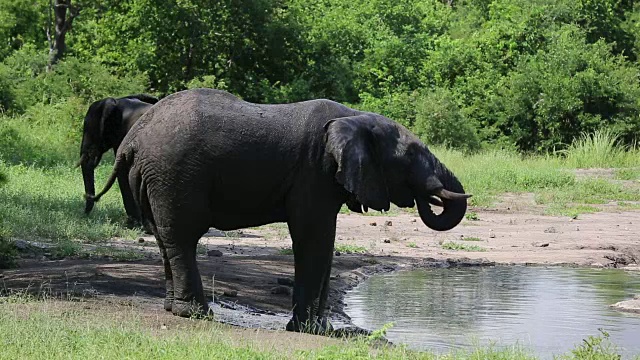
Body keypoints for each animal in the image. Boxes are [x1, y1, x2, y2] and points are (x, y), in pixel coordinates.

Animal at [89, 88, 470, 334]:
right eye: (410, 156)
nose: (430, 196)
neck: (354, 118)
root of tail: (133, 139)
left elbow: (325, 242)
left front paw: (321, 329)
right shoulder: (314, 172)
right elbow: (313, 237)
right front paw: (307, 330)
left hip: (153, 177)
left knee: (164, 237)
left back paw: (175, 310)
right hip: (174, 174)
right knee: (182, 238)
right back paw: (196, 315)